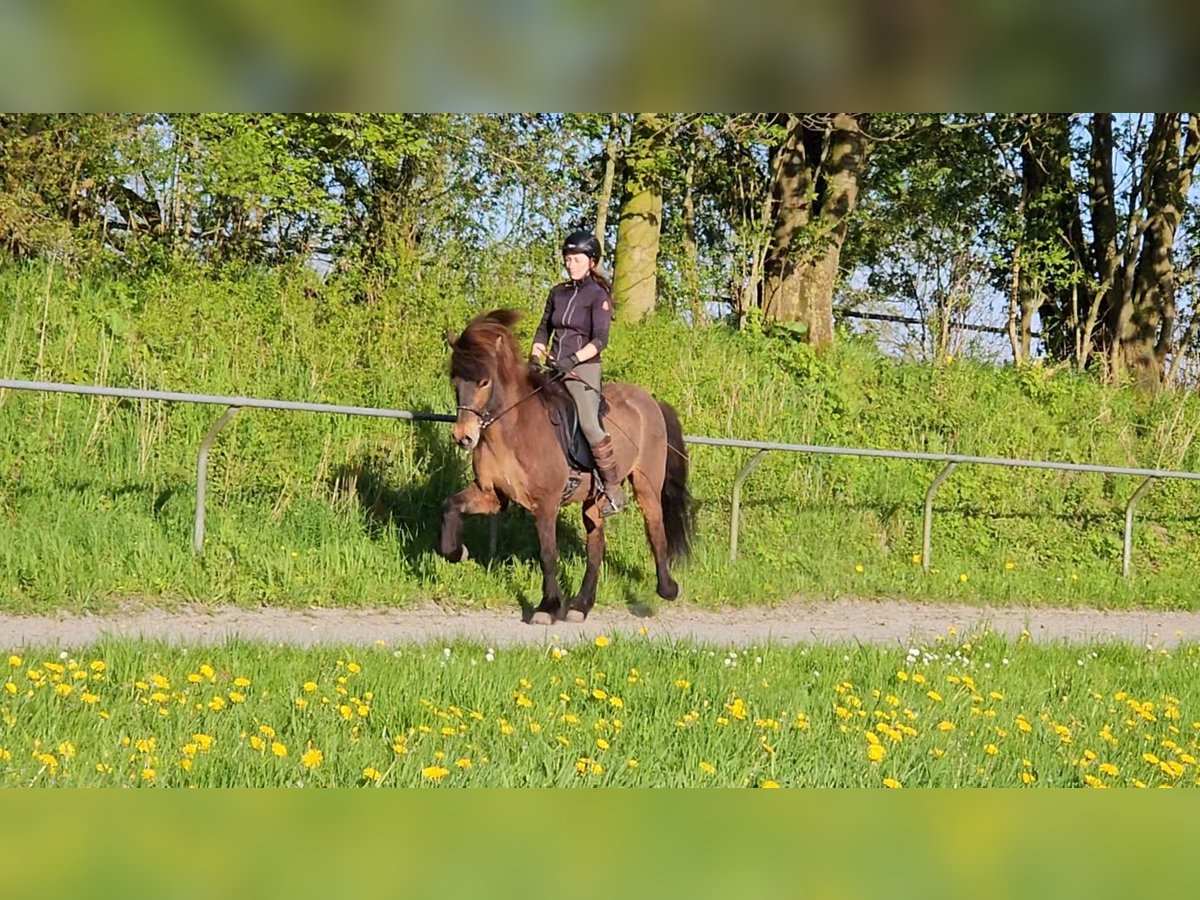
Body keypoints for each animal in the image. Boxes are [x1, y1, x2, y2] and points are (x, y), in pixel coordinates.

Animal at [439, 307, 696, 624]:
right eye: (455, 381)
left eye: (484, 382)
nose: (463, 437)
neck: (512, 430)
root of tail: (650, 401)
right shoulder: (492, 495)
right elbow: (450, 507)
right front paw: (457, 551)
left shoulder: (546, 503)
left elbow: (548, 554)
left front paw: (547, 607)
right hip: (594, 500)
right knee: (596, 545)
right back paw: (581, 605)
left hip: (646, 483)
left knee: (655, 529)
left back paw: (667, 589)